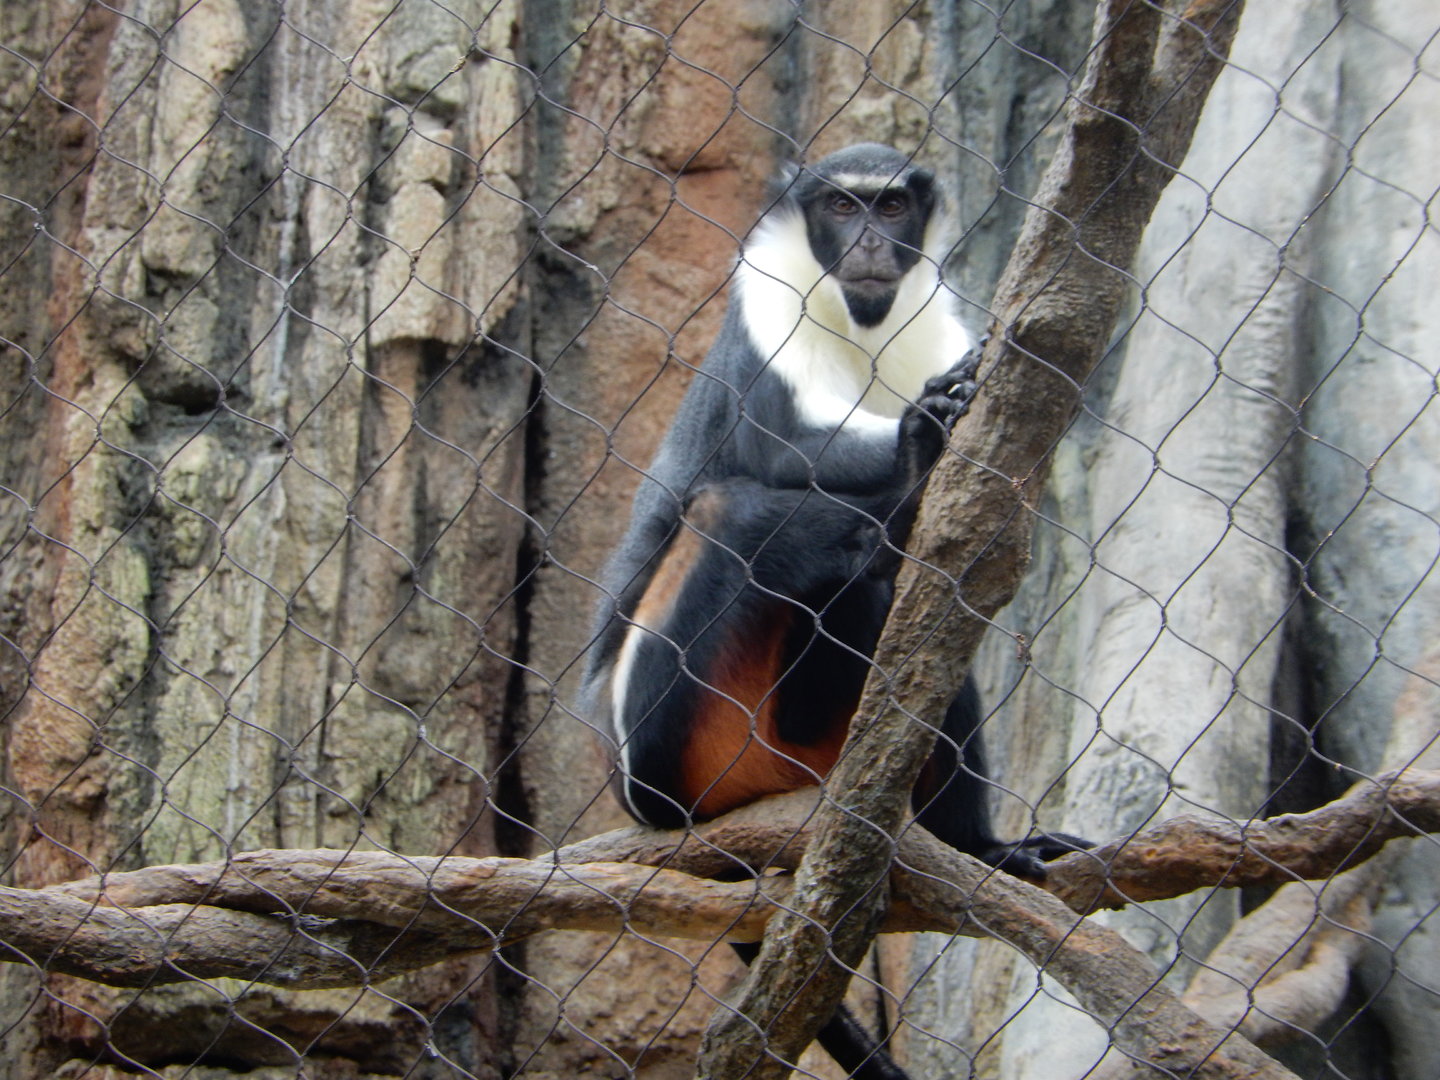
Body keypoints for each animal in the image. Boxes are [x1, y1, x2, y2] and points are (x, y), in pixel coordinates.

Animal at [581, 144, 1078, 1078]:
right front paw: (921, 436)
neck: (862, 317)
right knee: (732, 509)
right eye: (843, 207)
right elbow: (783, 448)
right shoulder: (766, 294)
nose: (872, 243)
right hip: (675, 748)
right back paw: (899, 508)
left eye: (891, 206)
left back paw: (977, 847)